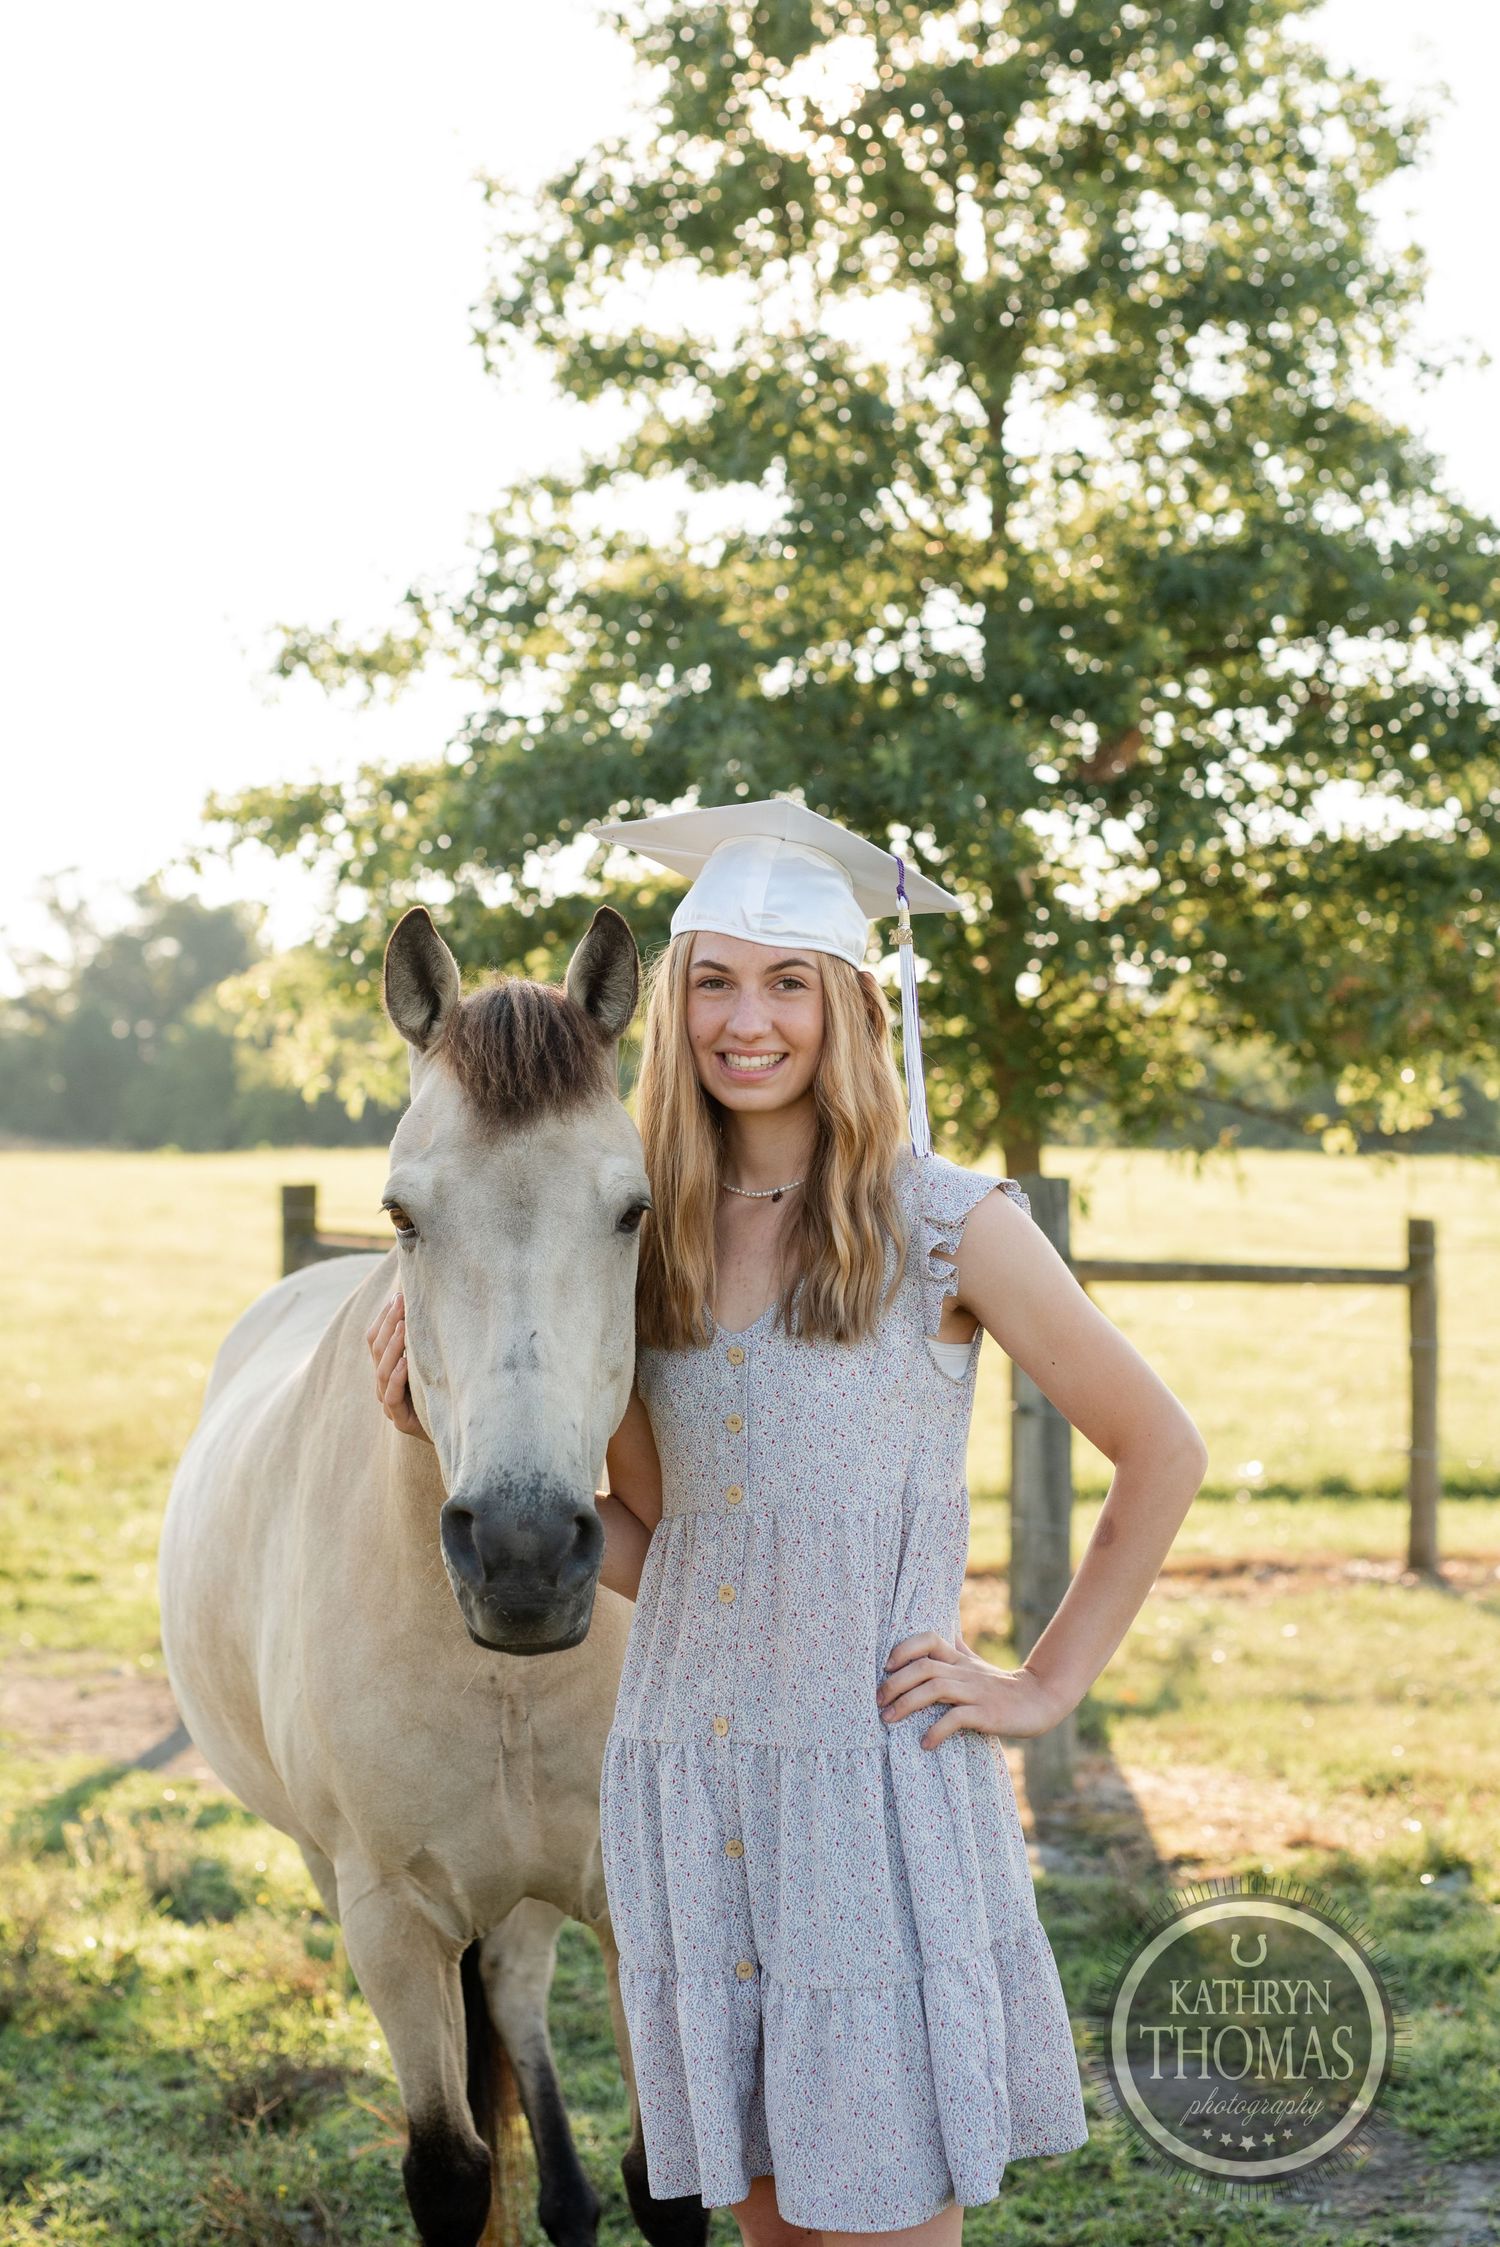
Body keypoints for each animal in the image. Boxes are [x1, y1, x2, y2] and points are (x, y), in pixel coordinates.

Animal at [159, 903, 707, 2247]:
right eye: (403, 1214)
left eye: (633, 1211)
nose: (522, 1553)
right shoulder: (392, 1922)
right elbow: (450, 2173)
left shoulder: (636, 1907)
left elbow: (667, 2182)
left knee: (510, 1991)